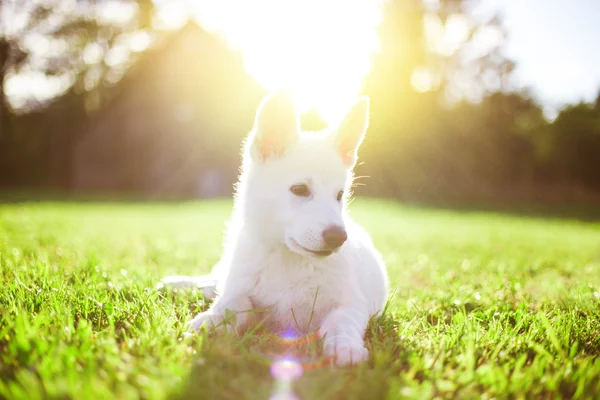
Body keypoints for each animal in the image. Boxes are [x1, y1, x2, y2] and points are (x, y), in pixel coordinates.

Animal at [162, 91, 392, 366]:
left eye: (340, 195)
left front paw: (344, 345)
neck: (288, 258)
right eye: (300, 189)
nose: (339, 237)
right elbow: (230, 304)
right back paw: (179, 283)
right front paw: (208, 320)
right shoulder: (247, 299)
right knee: (218, 279)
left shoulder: (351, 303)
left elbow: (342, 321)